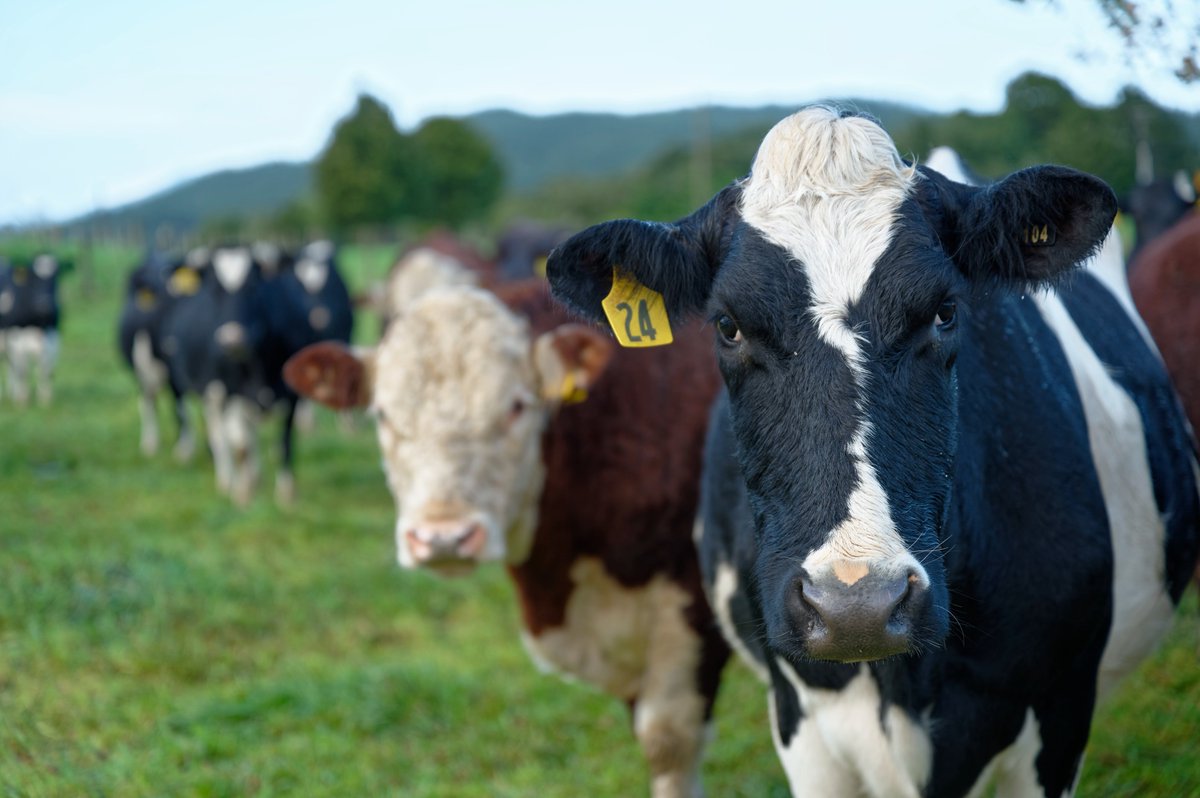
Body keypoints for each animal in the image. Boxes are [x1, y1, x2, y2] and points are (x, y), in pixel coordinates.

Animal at [0, 253, 63, 406]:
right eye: (33, 280)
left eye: (54, 279)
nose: (44, 305)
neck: (38, 325)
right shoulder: (17, 341)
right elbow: (23, 372)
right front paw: (22, 401)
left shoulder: (53, 341)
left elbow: (46, 372)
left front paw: (45, 401)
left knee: (11, 365)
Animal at [117, 251, 198, 459]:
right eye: (163, 303)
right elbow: (180, 409)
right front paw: (185, 449)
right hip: (141, 375)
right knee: (147, 403)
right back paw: (150, 444)